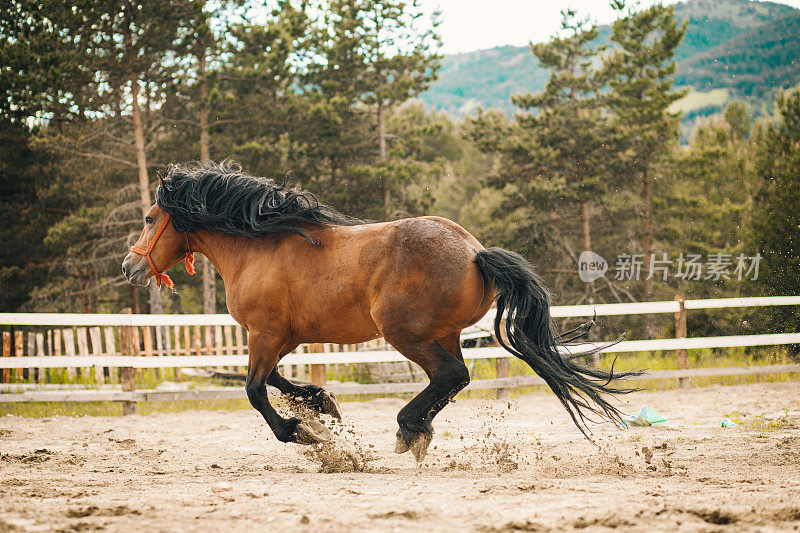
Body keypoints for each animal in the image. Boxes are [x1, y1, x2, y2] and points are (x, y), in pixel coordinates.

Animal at [123, 161, 636, 462]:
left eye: (149, 219)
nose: (131, 267)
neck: (258, 246)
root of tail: (475, 252)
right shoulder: (282, 337)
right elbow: (277, 381)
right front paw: (322, 407)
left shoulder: (264, 334)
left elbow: (254, 389)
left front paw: (304, 433)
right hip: (441, 334)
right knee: (455, 378)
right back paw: (418, 429)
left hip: (406, 334)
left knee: (450, 376)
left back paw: (409, 430)